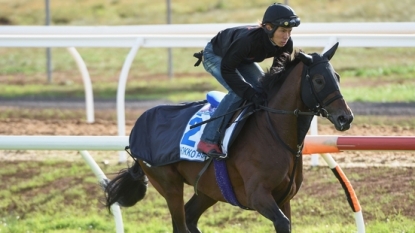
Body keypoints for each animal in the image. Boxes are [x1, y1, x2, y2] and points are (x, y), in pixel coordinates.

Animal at [104, 42, 354, 233]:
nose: (345, 117)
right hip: (168, 184)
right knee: (180, 223)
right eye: (319, 80)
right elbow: (282, 223)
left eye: (338, 77)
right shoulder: (258, 196)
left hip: (208, 188)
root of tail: (137, 128)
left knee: (190, 217)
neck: (273, 132)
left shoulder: (284, 198)